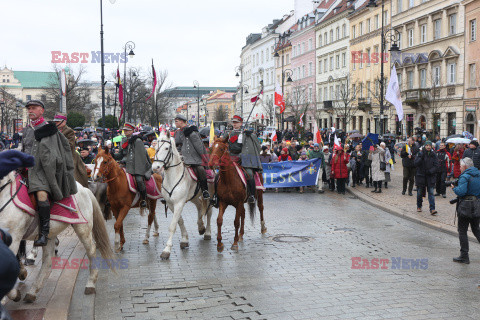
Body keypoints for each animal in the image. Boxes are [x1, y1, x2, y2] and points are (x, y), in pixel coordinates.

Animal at [0, 170, 113, 302]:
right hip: (50, 233)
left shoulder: (14, 237)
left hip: (83, 228)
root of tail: (84, 189)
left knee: (91, 250)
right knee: (47, 260)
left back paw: (90, 284)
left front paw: (11, 294)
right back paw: (32, 292)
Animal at [153, 130, 213, 260]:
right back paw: (201, 227)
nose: (155, 167)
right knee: (199, 206)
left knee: (209, 213)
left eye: (166, 148)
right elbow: (179, 221)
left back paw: (207, 232)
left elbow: (172, 225)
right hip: (193, 197)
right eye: (155, 148)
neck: (173, 177)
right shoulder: (171, 204)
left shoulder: (179, 203)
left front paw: (166, 250)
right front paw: (185, 239)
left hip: (209, 196)